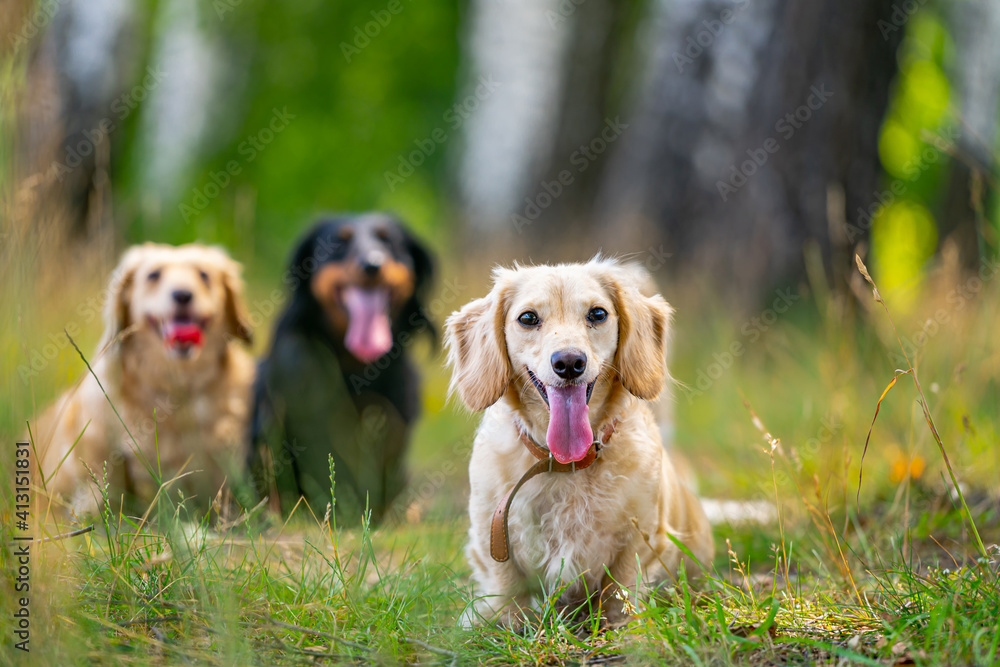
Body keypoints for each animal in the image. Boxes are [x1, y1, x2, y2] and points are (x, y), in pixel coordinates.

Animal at [444, 258, 712, 628]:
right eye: (528, 318)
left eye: (597, 314)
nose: (570, 363)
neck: (565, 464)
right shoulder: (491, 534)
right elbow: (508, 589)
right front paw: (501, 623)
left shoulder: (641, 536)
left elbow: (620, 587)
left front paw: (623, 628)